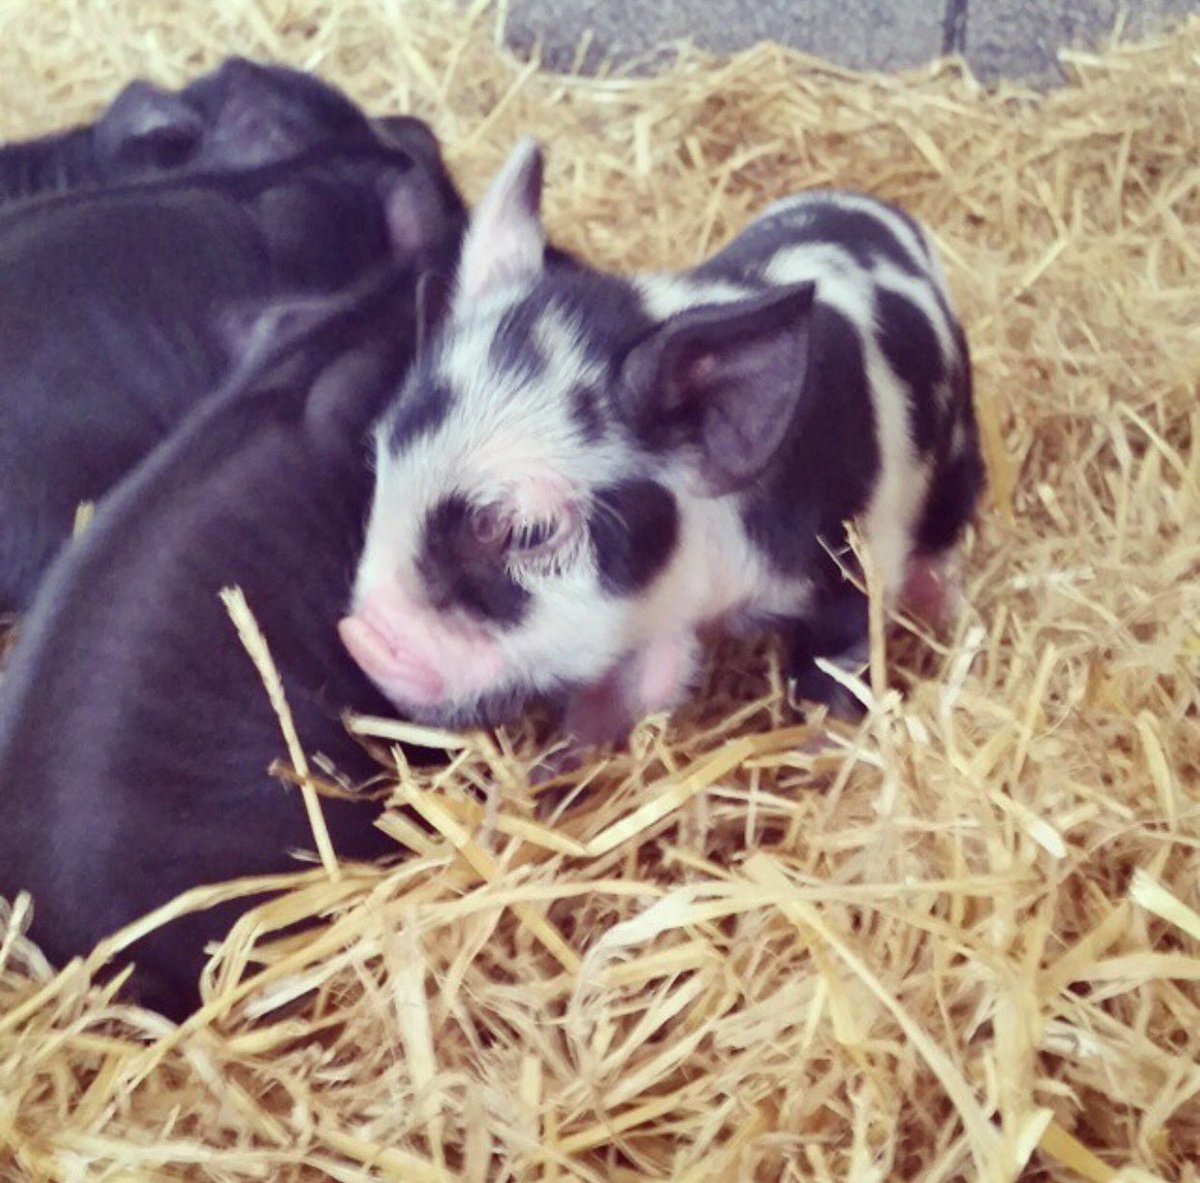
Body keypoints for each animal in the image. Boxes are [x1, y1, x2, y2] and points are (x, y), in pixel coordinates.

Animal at [340, 138, 984, 747]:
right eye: (381, 461)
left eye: (529, 532)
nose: (360, 638)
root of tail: (876, 208)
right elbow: (628, 691)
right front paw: (564, 758)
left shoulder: (856, 564)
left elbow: (836, 670)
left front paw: (822, 748)